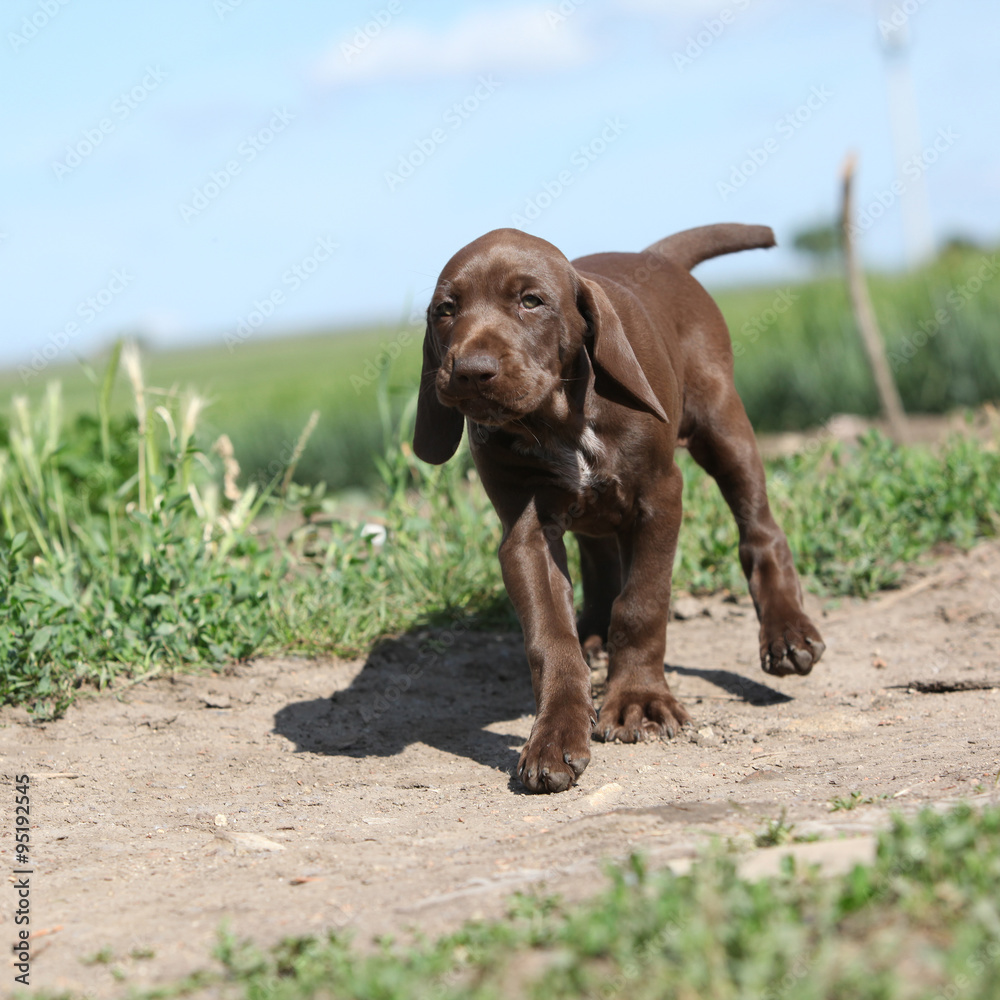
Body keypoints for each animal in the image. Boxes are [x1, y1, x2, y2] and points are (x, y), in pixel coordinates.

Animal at [410, 223, 824, 792]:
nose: (472, 371)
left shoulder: (659, 498)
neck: (561, 417)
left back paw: (787, 632)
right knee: (600, 560)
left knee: (759, 528)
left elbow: (642, 604)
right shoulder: (526, 534)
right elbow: (550, 636)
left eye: (531, 301)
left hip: (722, 424)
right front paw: (556, 731)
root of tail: (655, 255)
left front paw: (639, 702)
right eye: (445, 310)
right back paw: (592, 634)